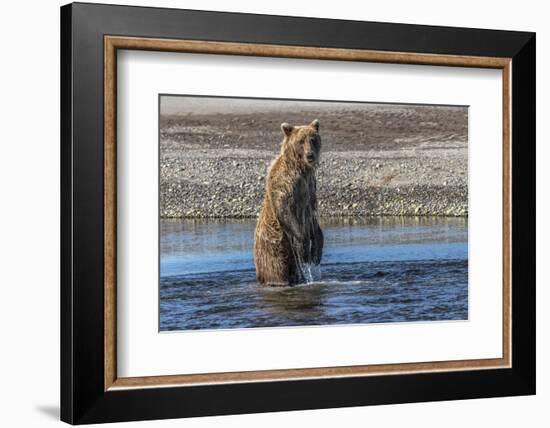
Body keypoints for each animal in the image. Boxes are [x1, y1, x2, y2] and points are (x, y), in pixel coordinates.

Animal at [256, 118, 326, 286]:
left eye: (313, 139)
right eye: (300, 141)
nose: (310, 155)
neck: (301, 168)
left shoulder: (310, 189)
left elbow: (314, 220)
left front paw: (316, 252)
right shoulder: (286, 183)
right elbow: (285, 209)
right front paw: (304, 247)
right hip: (275, 250)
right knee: (277, 270)